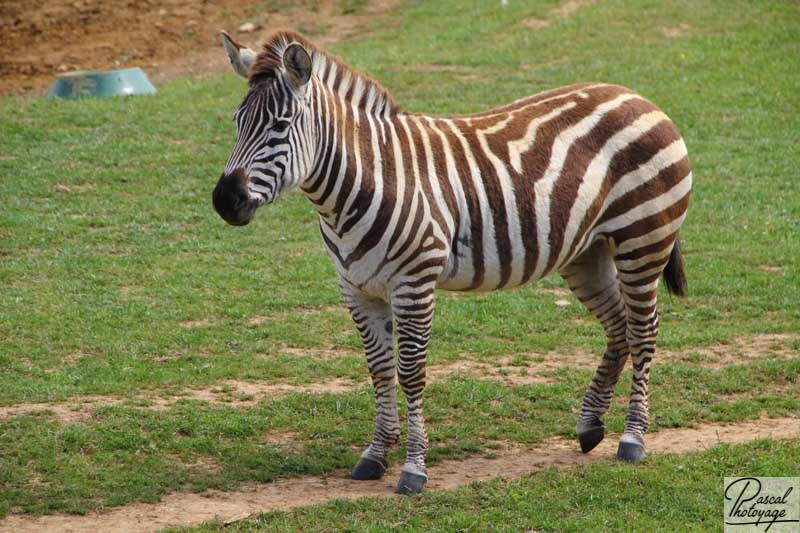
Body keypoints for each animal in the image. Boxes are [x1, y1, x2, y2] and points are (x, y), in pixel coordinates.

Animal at [216, 30, 692, 494]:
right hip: (586, 253)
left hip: (643, 239)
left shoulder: (413, 282)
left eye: (280, 126)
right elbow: (379, 370)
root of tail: (637, 97)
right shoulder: (356, 288)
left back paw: (632, 439)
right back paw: (590, 426)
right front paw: (375, 454)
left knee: (643, 331)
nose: (224, 201)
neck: (366, 181)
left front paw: (413, 469)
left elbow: (410, 372)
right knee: (619, 328)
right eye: (237, 123)